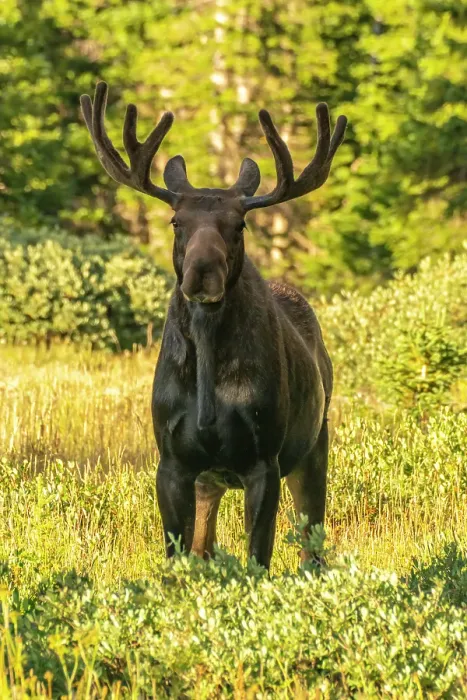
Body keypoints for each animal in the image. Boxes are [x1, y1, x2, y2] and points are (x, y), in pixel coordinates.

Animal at [81, 82, 347, 570]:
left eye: (239, 224)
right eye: (176, 221)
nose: (203, 270)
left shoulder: (264, 459)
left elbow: (258, 560)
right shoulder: (172, 460)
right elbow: (179, 558)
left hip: (315, 444)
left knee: (311, 550)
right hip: (212, 480)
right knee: (205, 545)